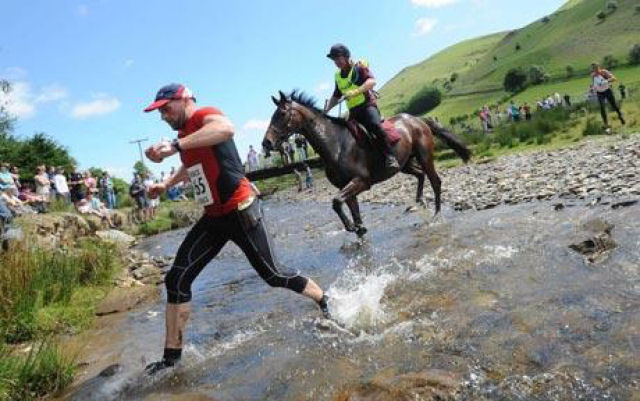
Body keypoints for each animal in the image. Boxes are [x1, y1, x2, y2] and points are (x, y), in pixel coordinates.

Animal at [262, 89, 470, 236]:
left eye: (282, 114)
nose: (266, 143)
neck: (336, 144)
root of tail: (418, 120)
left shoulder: (361, 181)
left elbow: (336, 201)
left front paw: (350, 227)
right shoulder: (347, 187)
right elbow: (351, 211)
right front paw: (358, 229)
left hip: (424, 157)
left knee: (435, 181)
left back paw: (437, 214)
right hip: (404, 164)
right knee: (420, 174)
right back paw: (418, 202)